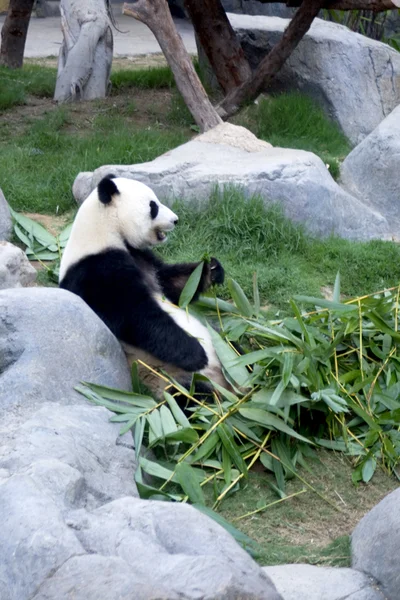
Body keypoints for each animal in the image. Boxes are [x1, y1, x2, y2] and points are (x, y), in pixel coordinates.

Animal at [59, 173, 228, 398]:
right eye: (153, 206)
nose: (175, 219)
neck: (104, 231)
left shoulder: (141, 256)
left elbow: (171, 283)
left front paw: (212, 269)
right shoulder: (95, 270)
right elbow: (135, 316)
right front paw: (196, 354)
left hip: (220, 345)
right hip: (168, 378)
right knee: (186, 397)